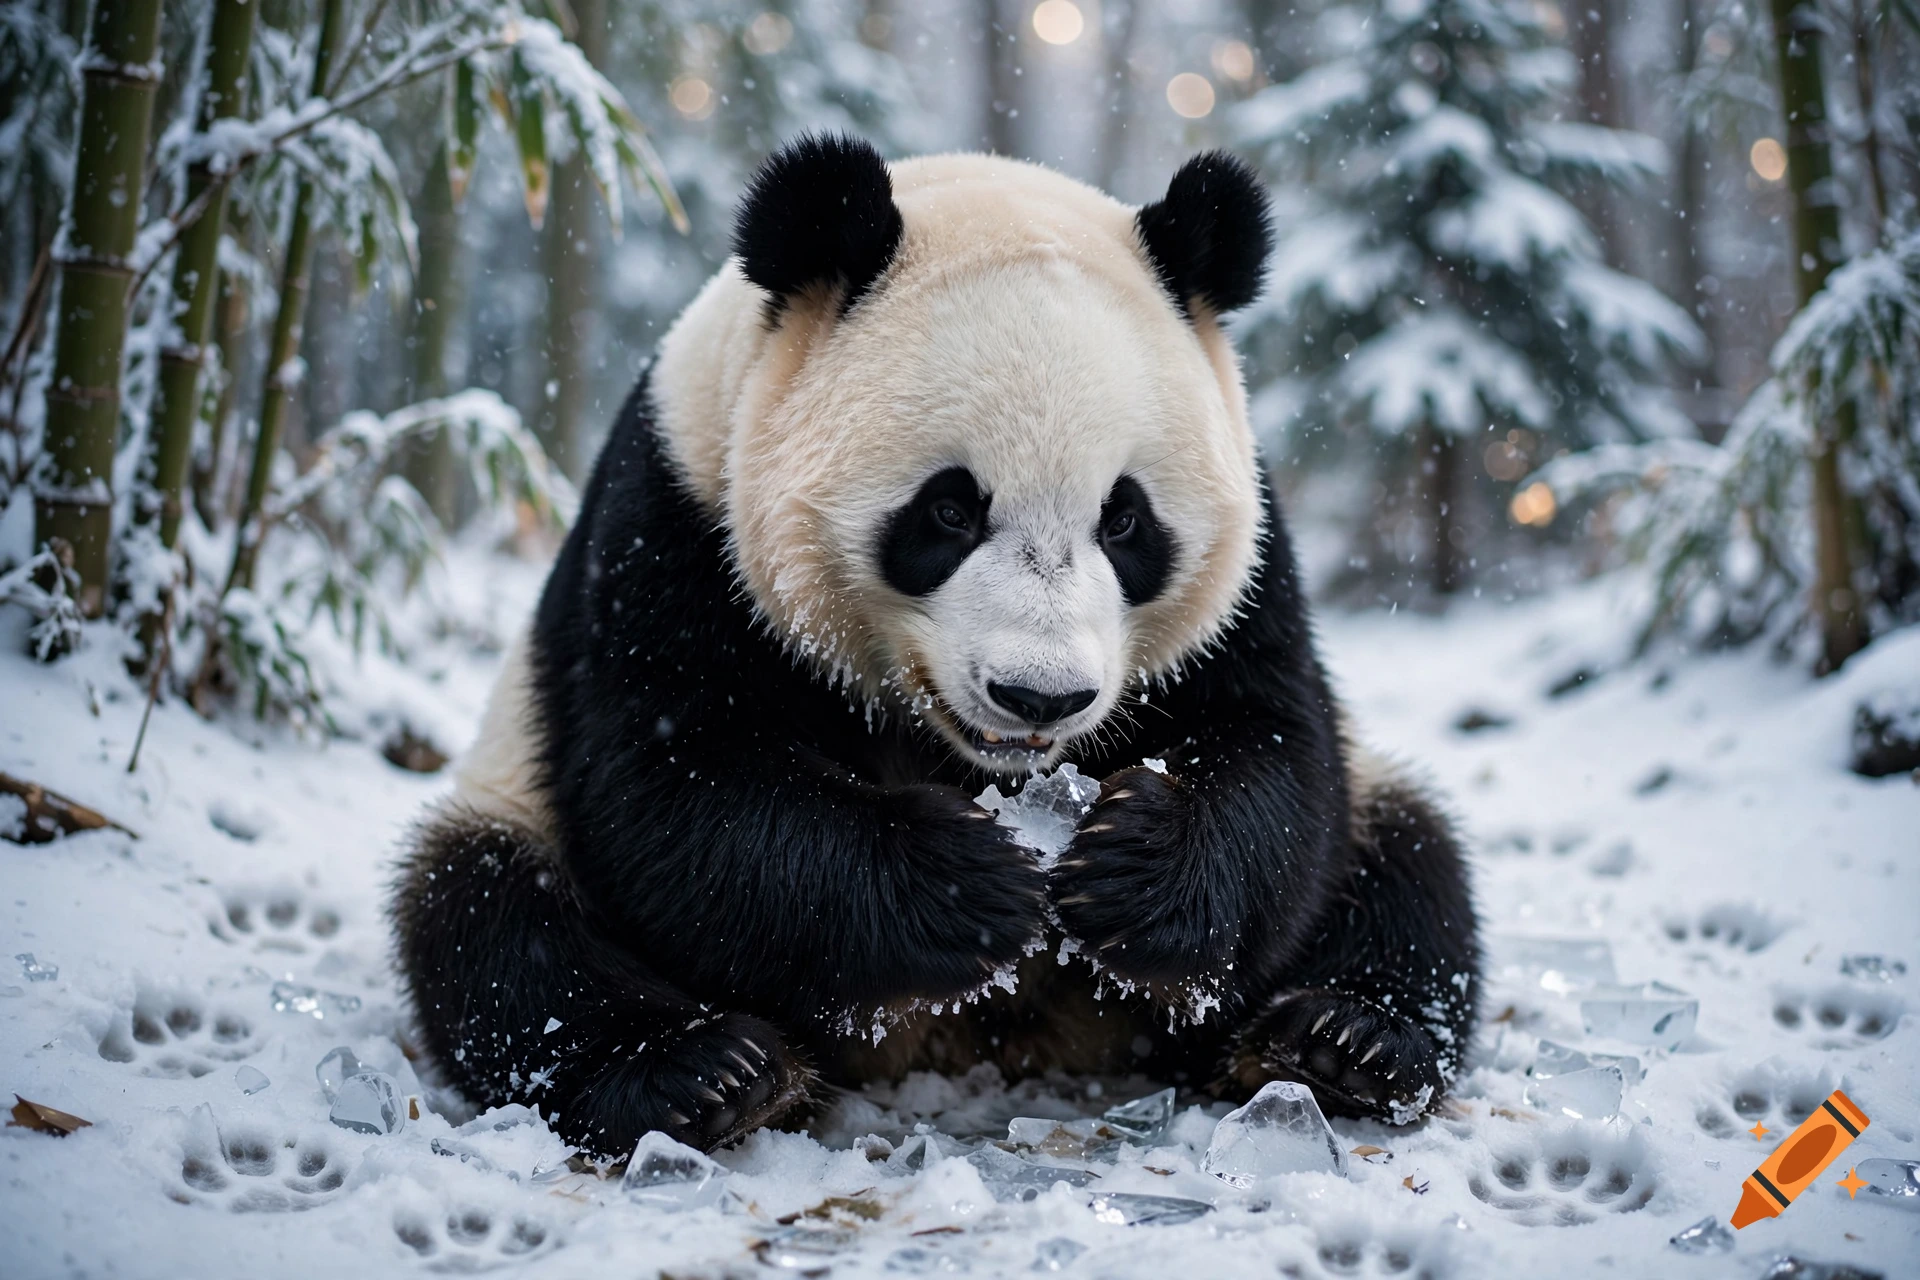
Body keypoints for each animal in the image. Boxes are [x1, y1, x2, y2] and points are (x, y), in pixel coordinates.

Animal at [392, 136, 1480, 1157]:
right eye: (950, 510)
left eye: (1125, 521)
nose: (1039, 696)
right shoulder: (678, 517)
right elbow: (674, 780)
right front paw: (969, 879)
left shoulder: (1251, 566)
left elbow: (1277, 750)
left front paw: (1132, 866)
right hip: (510, 789)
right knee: (496, 925)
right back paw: (702, 1072)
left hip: (1374, 822)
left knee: (1410, 866)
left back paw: (1341, 1040)